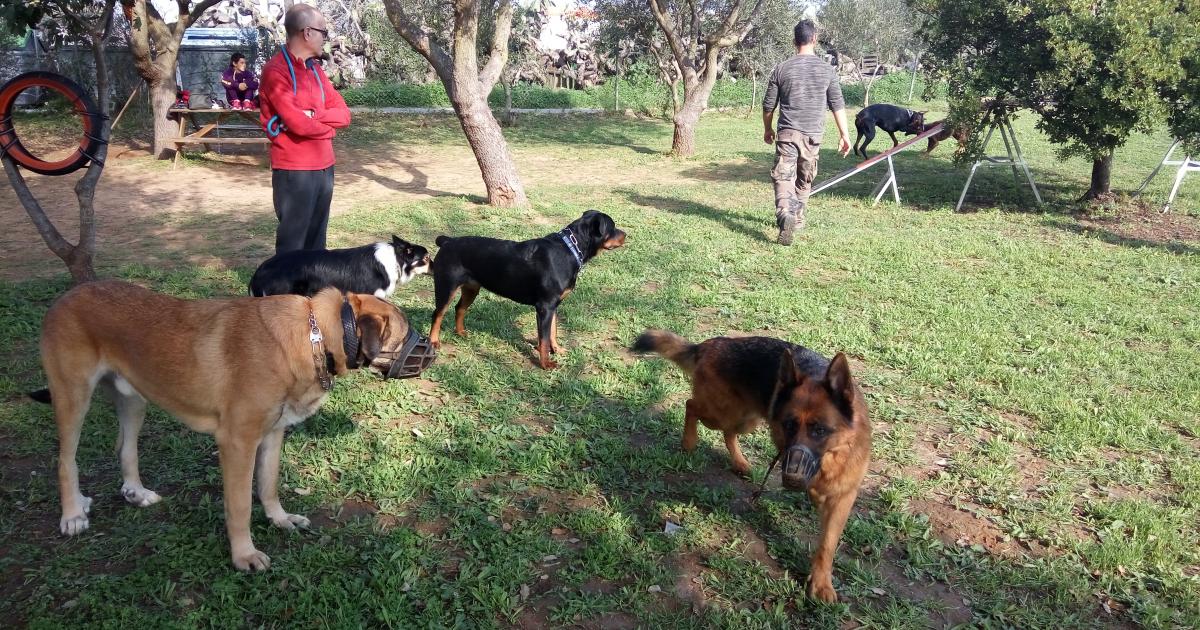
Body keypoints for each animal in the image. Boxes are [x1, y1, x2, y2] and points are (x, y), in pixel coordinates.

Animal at [31, 279, 436, 568]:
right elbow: (240, 505)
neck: (314, 333)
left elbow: (268, 485)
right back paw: (72, 513)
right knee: (65, 460)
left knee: (125, 448)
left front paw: (279, 519)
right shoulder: (238, 443)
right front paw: (244, 555)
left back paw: (136, 491)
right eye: (405, 336)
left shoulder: (272, 435)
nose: (434, 351)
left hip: (134, 400)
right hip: (73, 397)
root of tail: (67, 296)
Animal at [633, 328, 868, 600]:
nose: (792, 479)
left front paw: (821, 583)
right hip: (723, 413)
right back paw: (689, 442)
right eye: (788, 425)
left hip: (746, 419)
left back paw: (739, 462)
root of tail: (710, 344)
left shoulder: (841, 498)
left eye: (819, 430)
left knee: (727, 432)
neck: (831, 456)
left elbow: (827, 545)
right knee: (691, 406)